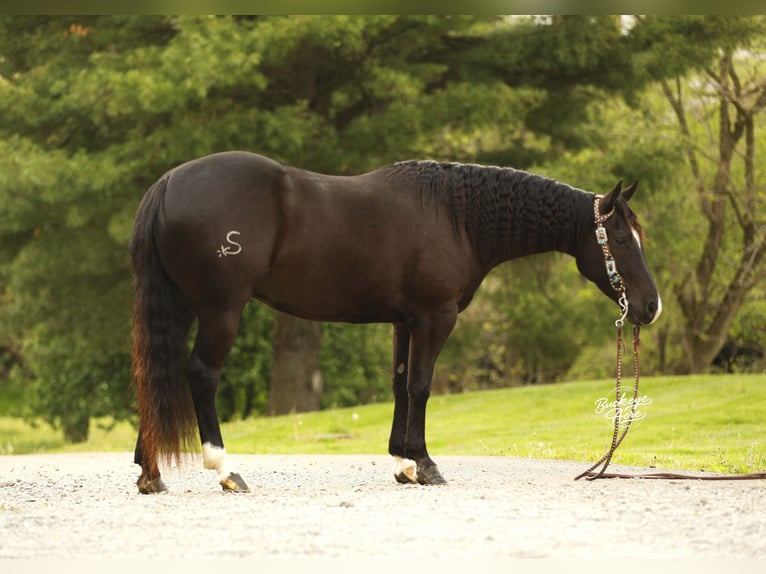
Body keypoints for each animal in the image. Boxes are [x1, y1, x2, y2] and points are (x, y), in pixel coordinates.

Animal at [129, 151, 662, 493]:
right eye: (619, 237)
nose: (650, 307)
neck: (455, 216)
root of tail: (168, 182)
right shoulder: (435, 317)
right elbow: (421, 385)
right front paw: (424, 465)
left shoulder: (404, 322)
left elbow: (401, 384)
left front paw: (403, 462)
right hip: (222, 308)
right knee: (200, 375)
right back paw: (226, 470)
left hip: (181, 307)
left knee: (157, 375)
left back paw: (150, 473)